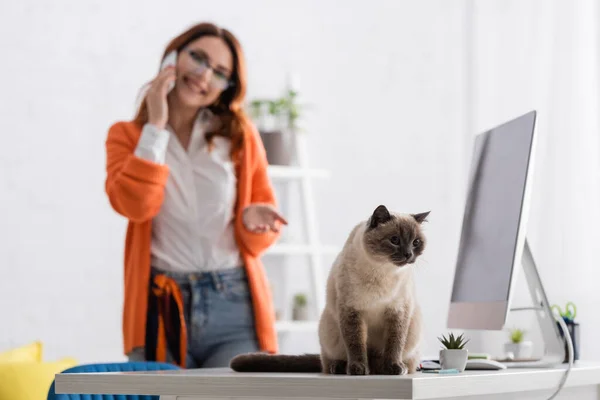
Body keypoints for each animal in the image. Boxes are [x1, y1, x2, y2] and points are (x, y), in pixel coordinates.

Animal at [227, 206, 428, 376]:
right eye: (395, 240)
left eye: (416, 242)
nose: (409, 254)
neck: (382, 270)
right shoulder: (351, 310)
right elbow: (356, 344)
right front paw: (358, 369)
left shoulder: (398, 312)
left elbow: (394, 344)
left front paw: (393, 367)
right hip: (329, 327)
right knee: (329, 360)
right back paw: (342, 368)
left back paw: (387, 368)